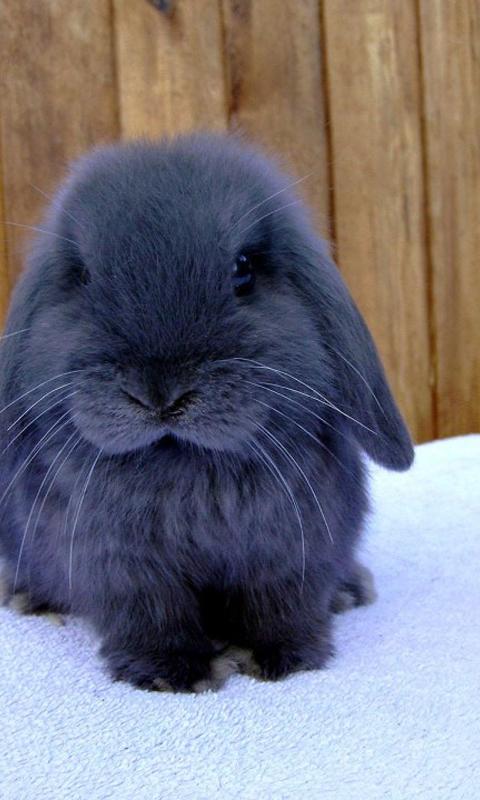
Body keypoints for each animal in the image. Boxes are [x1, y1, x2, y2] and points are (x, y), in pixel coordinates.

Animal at [0, 133, 413, 692]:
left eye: (243, 269)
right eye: (83, 276)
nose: (160, 392)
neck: (187, 467)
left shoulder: (290, 553)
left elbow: (280, 607)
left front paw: (283, 659)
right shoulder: (121, 566)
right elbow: (151, 614)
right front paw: (172, 674)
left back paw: (350, 591)